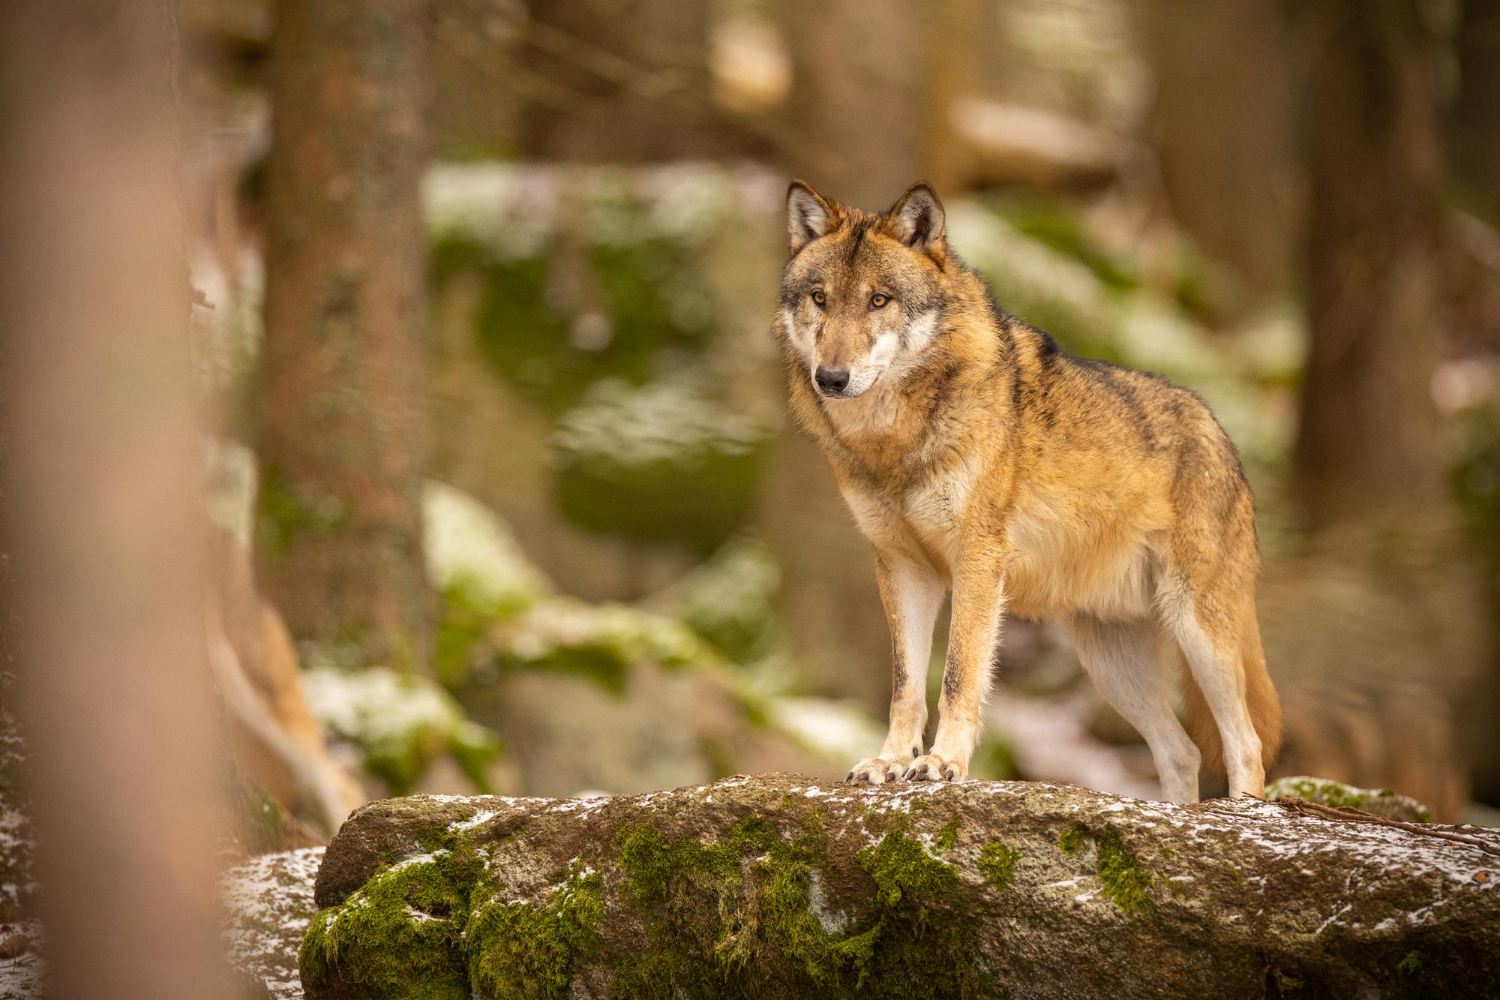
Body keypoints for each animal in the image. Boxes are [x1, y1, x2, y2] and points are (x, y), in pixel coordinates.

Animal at [780, 182, 1284, 803]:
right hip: (1110, 662)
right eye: (820, 299)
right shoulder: (901, 567)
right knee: (1182, 751)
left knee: (1246, 744)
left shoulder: (977, 558)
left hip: (1197, 629)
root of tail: (1223, 436)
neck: (894, 441)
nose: (831, 378)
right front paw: (889, 763)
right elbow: (904, 684)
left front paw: (944, 764)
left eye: (879, 300)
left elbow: (958, 674)